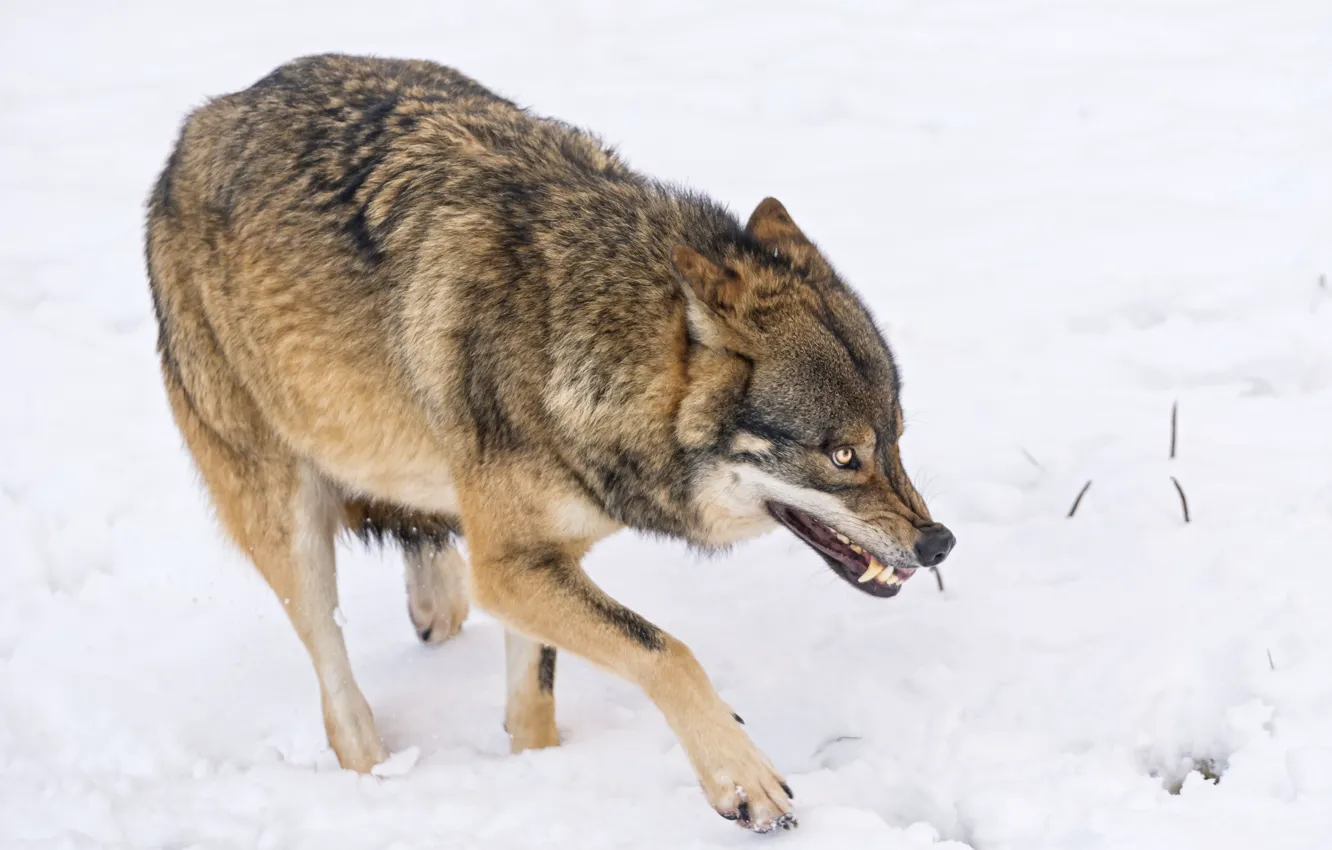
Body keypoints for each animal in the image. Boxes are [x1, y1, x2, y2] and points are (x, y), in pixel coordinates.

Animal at [145, 54, 953, 842]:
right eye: (842, 456)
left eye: (895, 437)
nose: (940, 542)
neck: (577, 337)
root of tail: (202, 121)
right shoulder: (511, 567)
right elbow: (667, 652)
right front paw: (743, 780)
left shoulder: (541, 557)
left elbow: (534, 698)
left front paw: (536, 771)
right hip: (286, 521)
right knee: (334, 683)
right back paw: (373, 773)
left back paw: (435, 602)